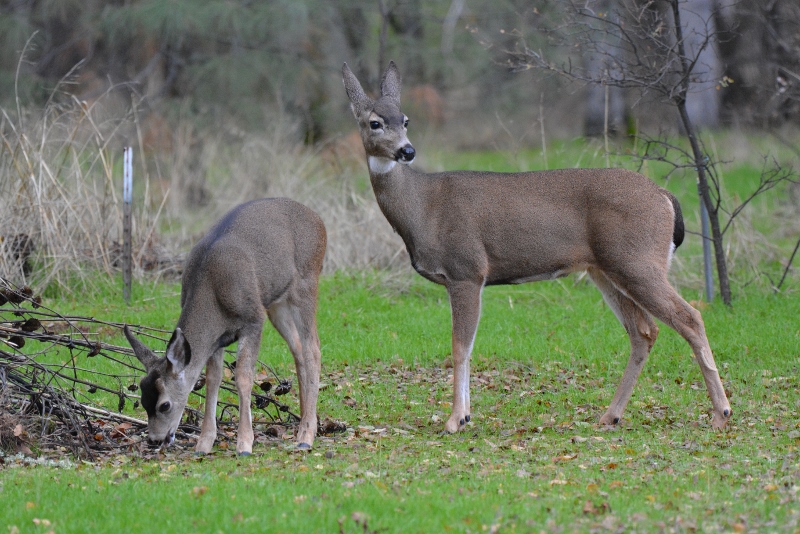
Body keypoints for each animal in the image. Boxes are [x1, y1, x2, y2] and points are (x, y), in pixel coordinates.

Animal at [125, 199, 324, 454]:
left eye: (164, 405)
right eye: (142, 401)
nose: (155, 440)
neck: (211, 292)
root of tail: (318, 219)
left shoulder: (253, 319)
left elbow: (243, 377)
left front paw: (245, 443)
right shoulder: (217, 338)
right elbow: (213, 380)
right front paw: (204, 443)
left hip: (306, 283)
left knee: (313, 348)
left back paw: (306, 435)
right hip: (276, 303)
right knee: (297, 348)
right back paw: (305, 421)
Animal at [344, 61, 732, 436]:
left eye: (406, 119)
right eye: (375, 122)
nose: (406, 151)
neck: (423, 209)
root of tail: (665, 197)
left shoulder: (467, 270)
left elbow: (460, 346)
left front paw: (456, 420)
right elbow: (465, 346)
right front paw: (465, 416)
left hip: (637, 260)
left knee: (690, 317)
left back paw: (721, 413)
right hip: (606, 269)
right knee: (644, 332)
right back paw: (610, 416)